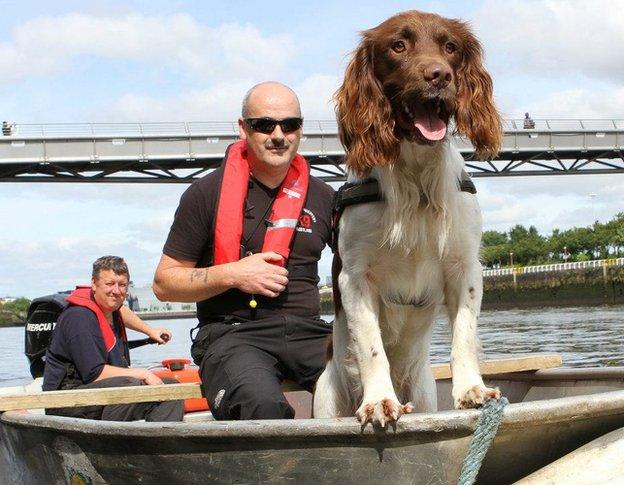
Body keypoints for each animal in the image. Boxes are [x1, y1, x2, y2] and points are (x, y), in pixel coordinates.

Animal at [316, 11, 502, 426]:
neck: (416, 180)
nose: (439, 75)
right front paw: (378, 400)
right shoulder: (355, 277)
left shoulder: (464, 266)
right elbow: (371, 346)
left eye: (450, 46)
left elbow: (464, 333)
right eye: (398, 46)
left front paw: (472, 389)